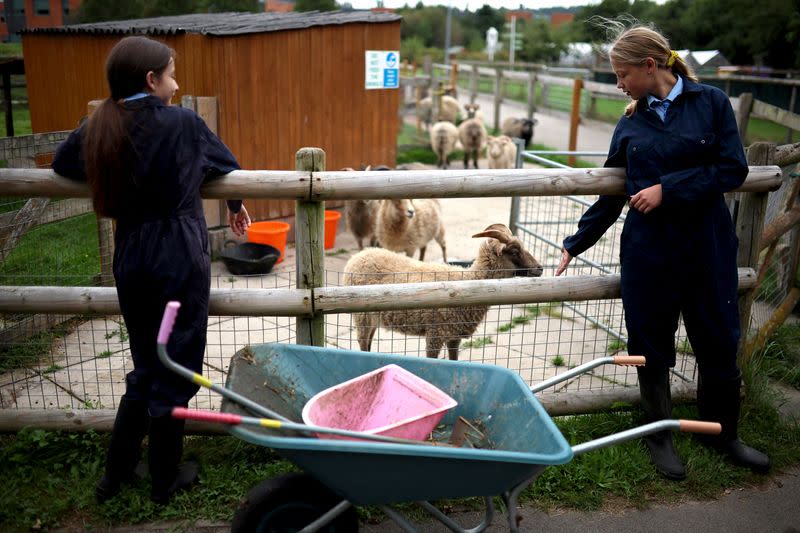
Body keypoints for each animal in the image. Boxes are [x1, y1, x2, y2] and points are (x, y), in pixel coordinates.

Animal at [344, 222, 544, 360]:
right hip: (362, 316)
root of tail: (358, 257)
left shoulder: (454, 336)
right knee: (363, 343)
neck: (469, 280)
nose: (540, 268)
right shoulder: (435, 333)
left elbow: (454, 360)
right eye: (514, 251)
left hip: (372, 318)